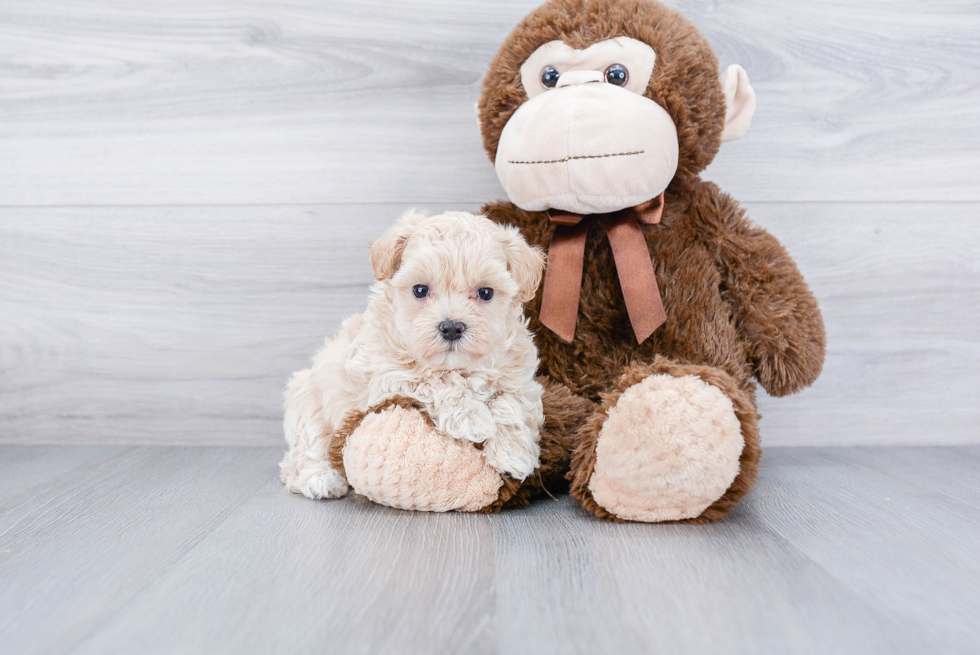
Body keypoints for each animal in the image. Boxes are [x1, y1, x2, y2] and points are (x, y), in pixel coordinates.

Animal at [280, 213, 548, 500]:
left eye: (486, 292)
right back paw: (321, 479)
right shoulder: (385, 375)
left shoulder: (521, 382)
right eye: (420, 290)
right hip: (309, 402)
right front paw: (470, 419)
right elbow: (434, 380)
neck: (459, 366)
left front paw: (514, 453)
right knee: (304, 452)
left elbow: (510, 403)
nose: (451, 327)